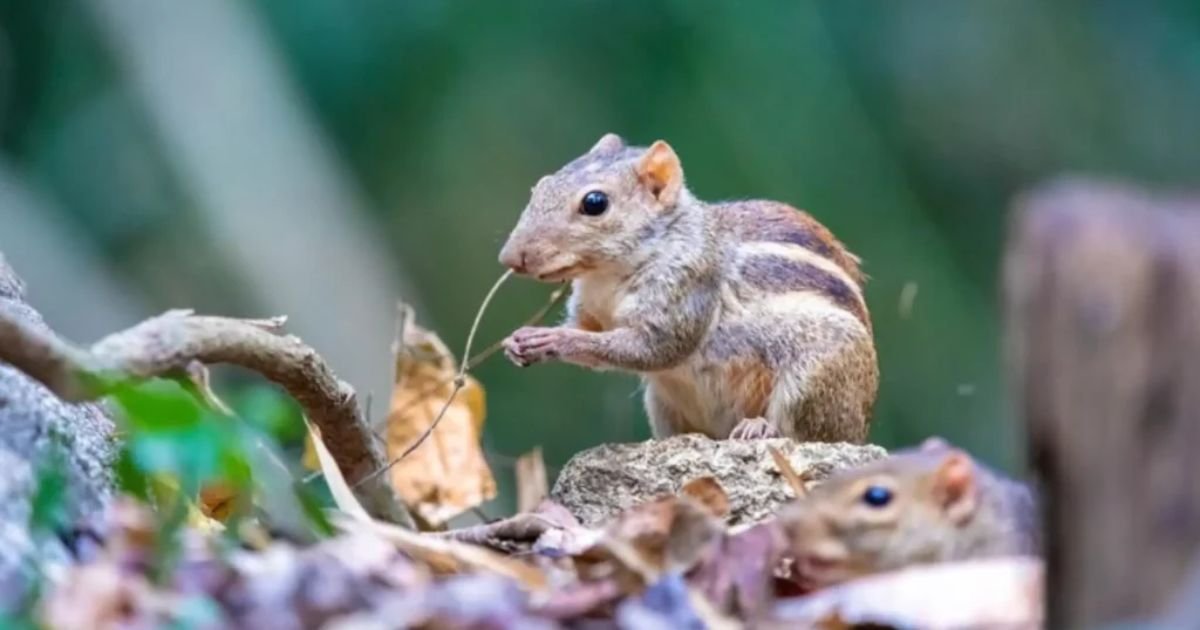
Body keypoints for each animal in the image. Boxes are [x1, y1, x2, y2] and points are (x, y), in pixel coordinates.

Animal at [498, 133, 878, 442]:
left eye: (595, 203)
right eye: (540, 187)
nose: (509, 258)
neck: (606, 277)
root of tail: (860, 429)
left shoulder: (685, 292)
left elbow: (650, 349)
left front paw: (552, 339)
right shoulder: (590, 310)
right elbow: (587, 331)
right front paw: (518, 341)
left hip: (817, 375)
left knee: (802, 432)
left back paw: (760, 427)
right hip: (661, 404)